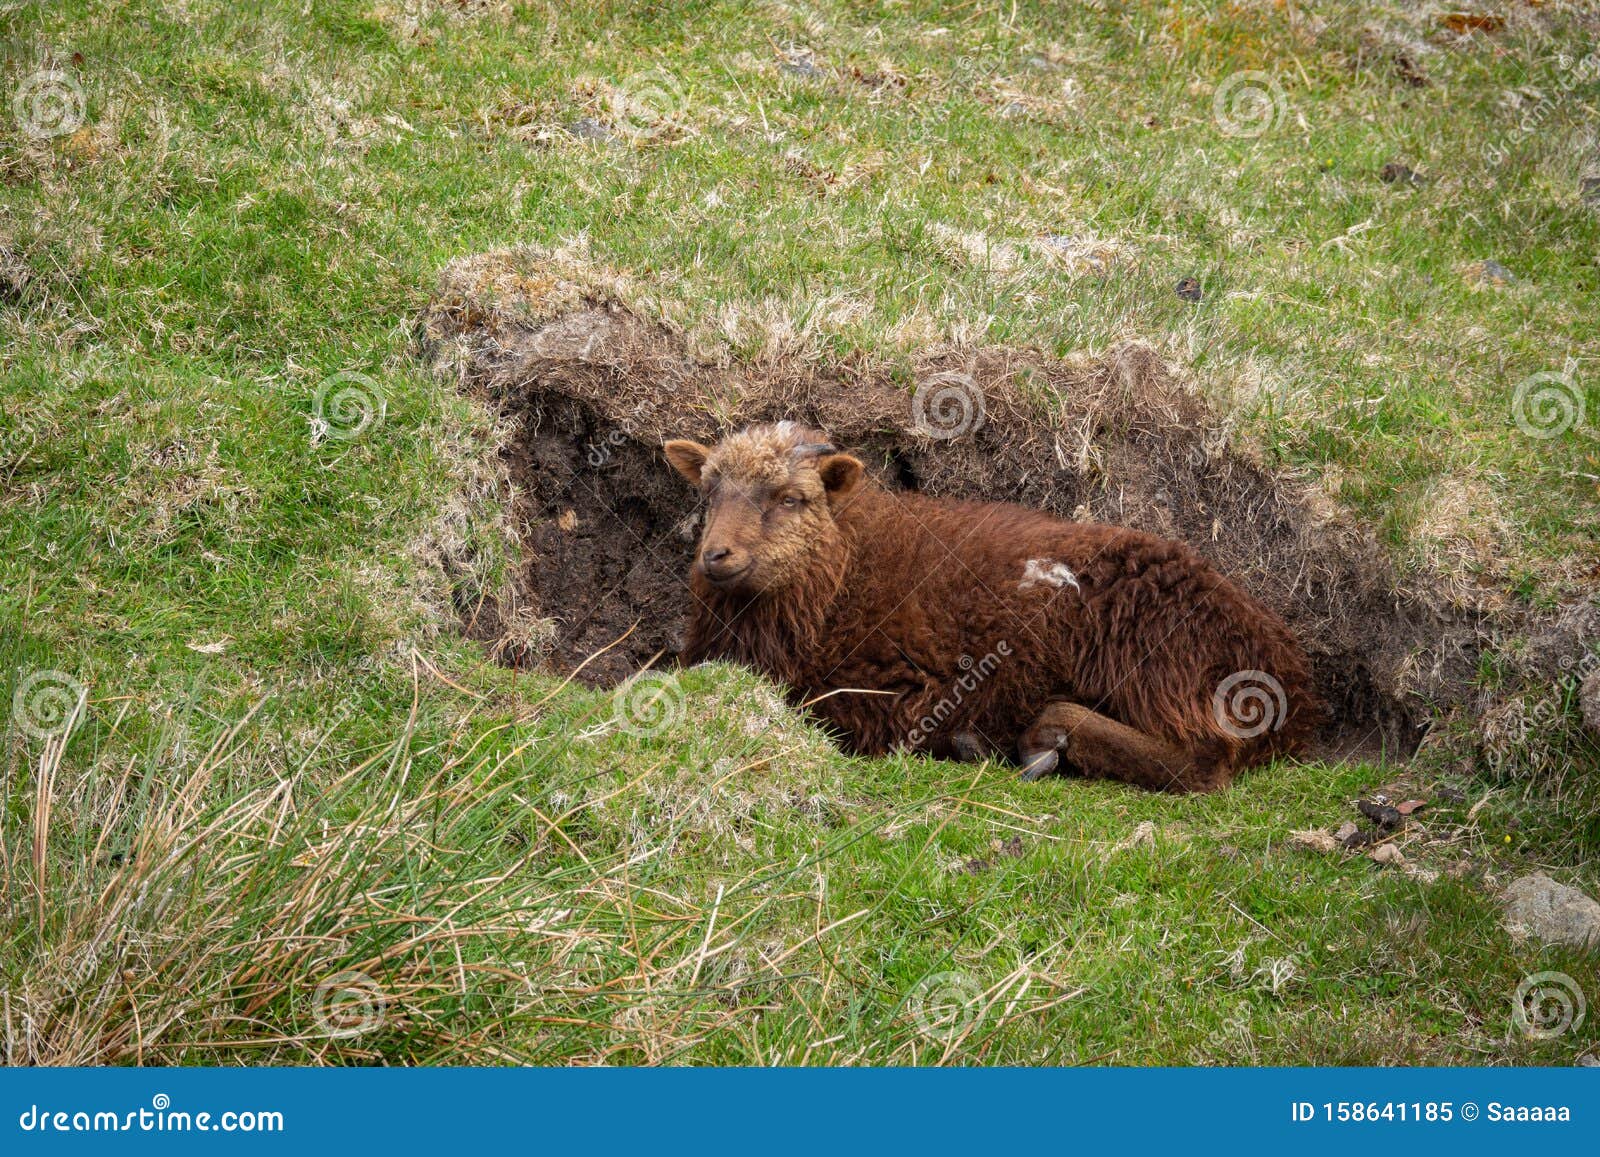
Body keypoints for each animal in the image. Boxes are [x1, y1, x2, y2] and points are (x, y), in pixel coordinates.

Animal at [656, 422, 1318, 790]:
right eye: (709, 492)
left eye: (791, 498)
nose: (715, 556)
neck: (843, 572)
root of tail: (1292, 677)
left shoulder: (891, 690)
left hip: (1153, 657)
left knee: (1205, 763)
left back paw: (1042, 739)